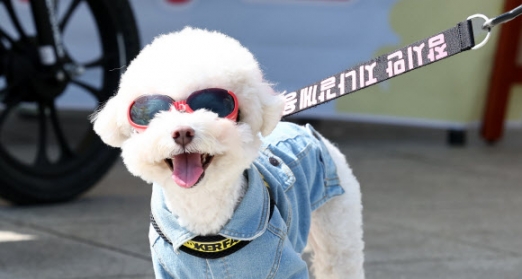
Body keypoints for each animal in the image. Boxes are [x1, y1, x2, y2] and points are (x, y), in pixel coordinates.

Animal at [92, 26, 362, 279]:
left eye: (215, 106)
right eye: (151, 111)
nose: (182, 132)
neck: (202, 210)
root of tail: (306, 130)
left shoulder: (286, 267)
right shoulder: (169, 270)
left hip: (338, 218)